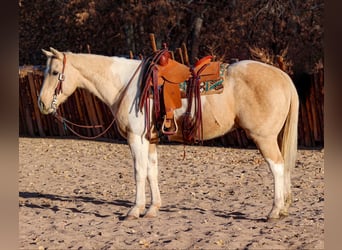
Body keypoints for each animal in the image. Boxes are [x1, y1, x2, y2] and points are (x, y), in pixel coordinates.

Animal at [38, 47, 300, 221]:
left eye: (54, 72)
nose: (42, 103)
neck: (126, 85)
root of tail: (282, 76)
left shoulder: (135, 138)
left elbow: (139, 172)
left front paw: (135, 210)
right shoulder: (149, 140)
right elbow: (152, 172)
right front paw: (153, 208)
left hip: (263, 138)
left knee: (277, 168)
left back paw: (274, 211)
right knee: (284, 167)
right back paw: (283, 208)